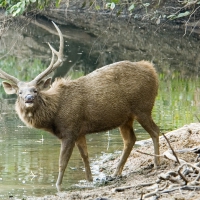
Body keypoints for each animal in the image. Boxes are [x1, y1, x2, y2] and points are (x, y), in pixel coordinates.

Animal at [0, 21, 160, 190]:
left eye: (35, 90)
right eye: (19, 92)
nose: (29, 98)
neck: (54, 116)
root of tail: (152, 71)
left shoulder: (70, 130)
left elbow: (62, 163)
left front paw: (58, 186)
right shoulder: (80, 131)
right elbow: (85, 156)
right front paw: (90, 180)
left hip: (143, 107)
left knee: (155, 131)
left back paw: (156, 163)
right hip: (125, 118)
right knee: (130, 140)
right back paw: (116, 172)